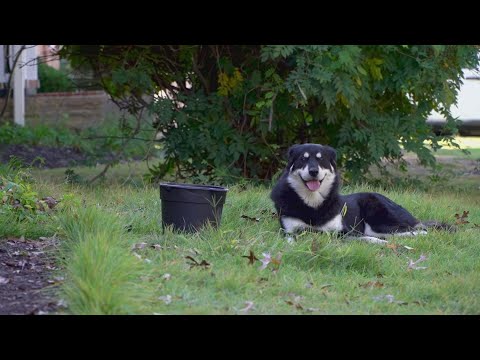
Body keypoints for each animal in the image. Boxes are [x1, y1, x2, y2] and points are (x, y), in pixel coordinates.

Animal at [272, 143, 452, 245]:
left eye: (321, 159)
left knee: (416, 230)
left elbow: (366, 238)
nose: (314, 171)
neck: (313, 204)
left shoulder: (344, 232)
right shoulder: (289, 231)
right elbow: (291, 239)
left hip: (380, 222)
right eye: (303, 159)